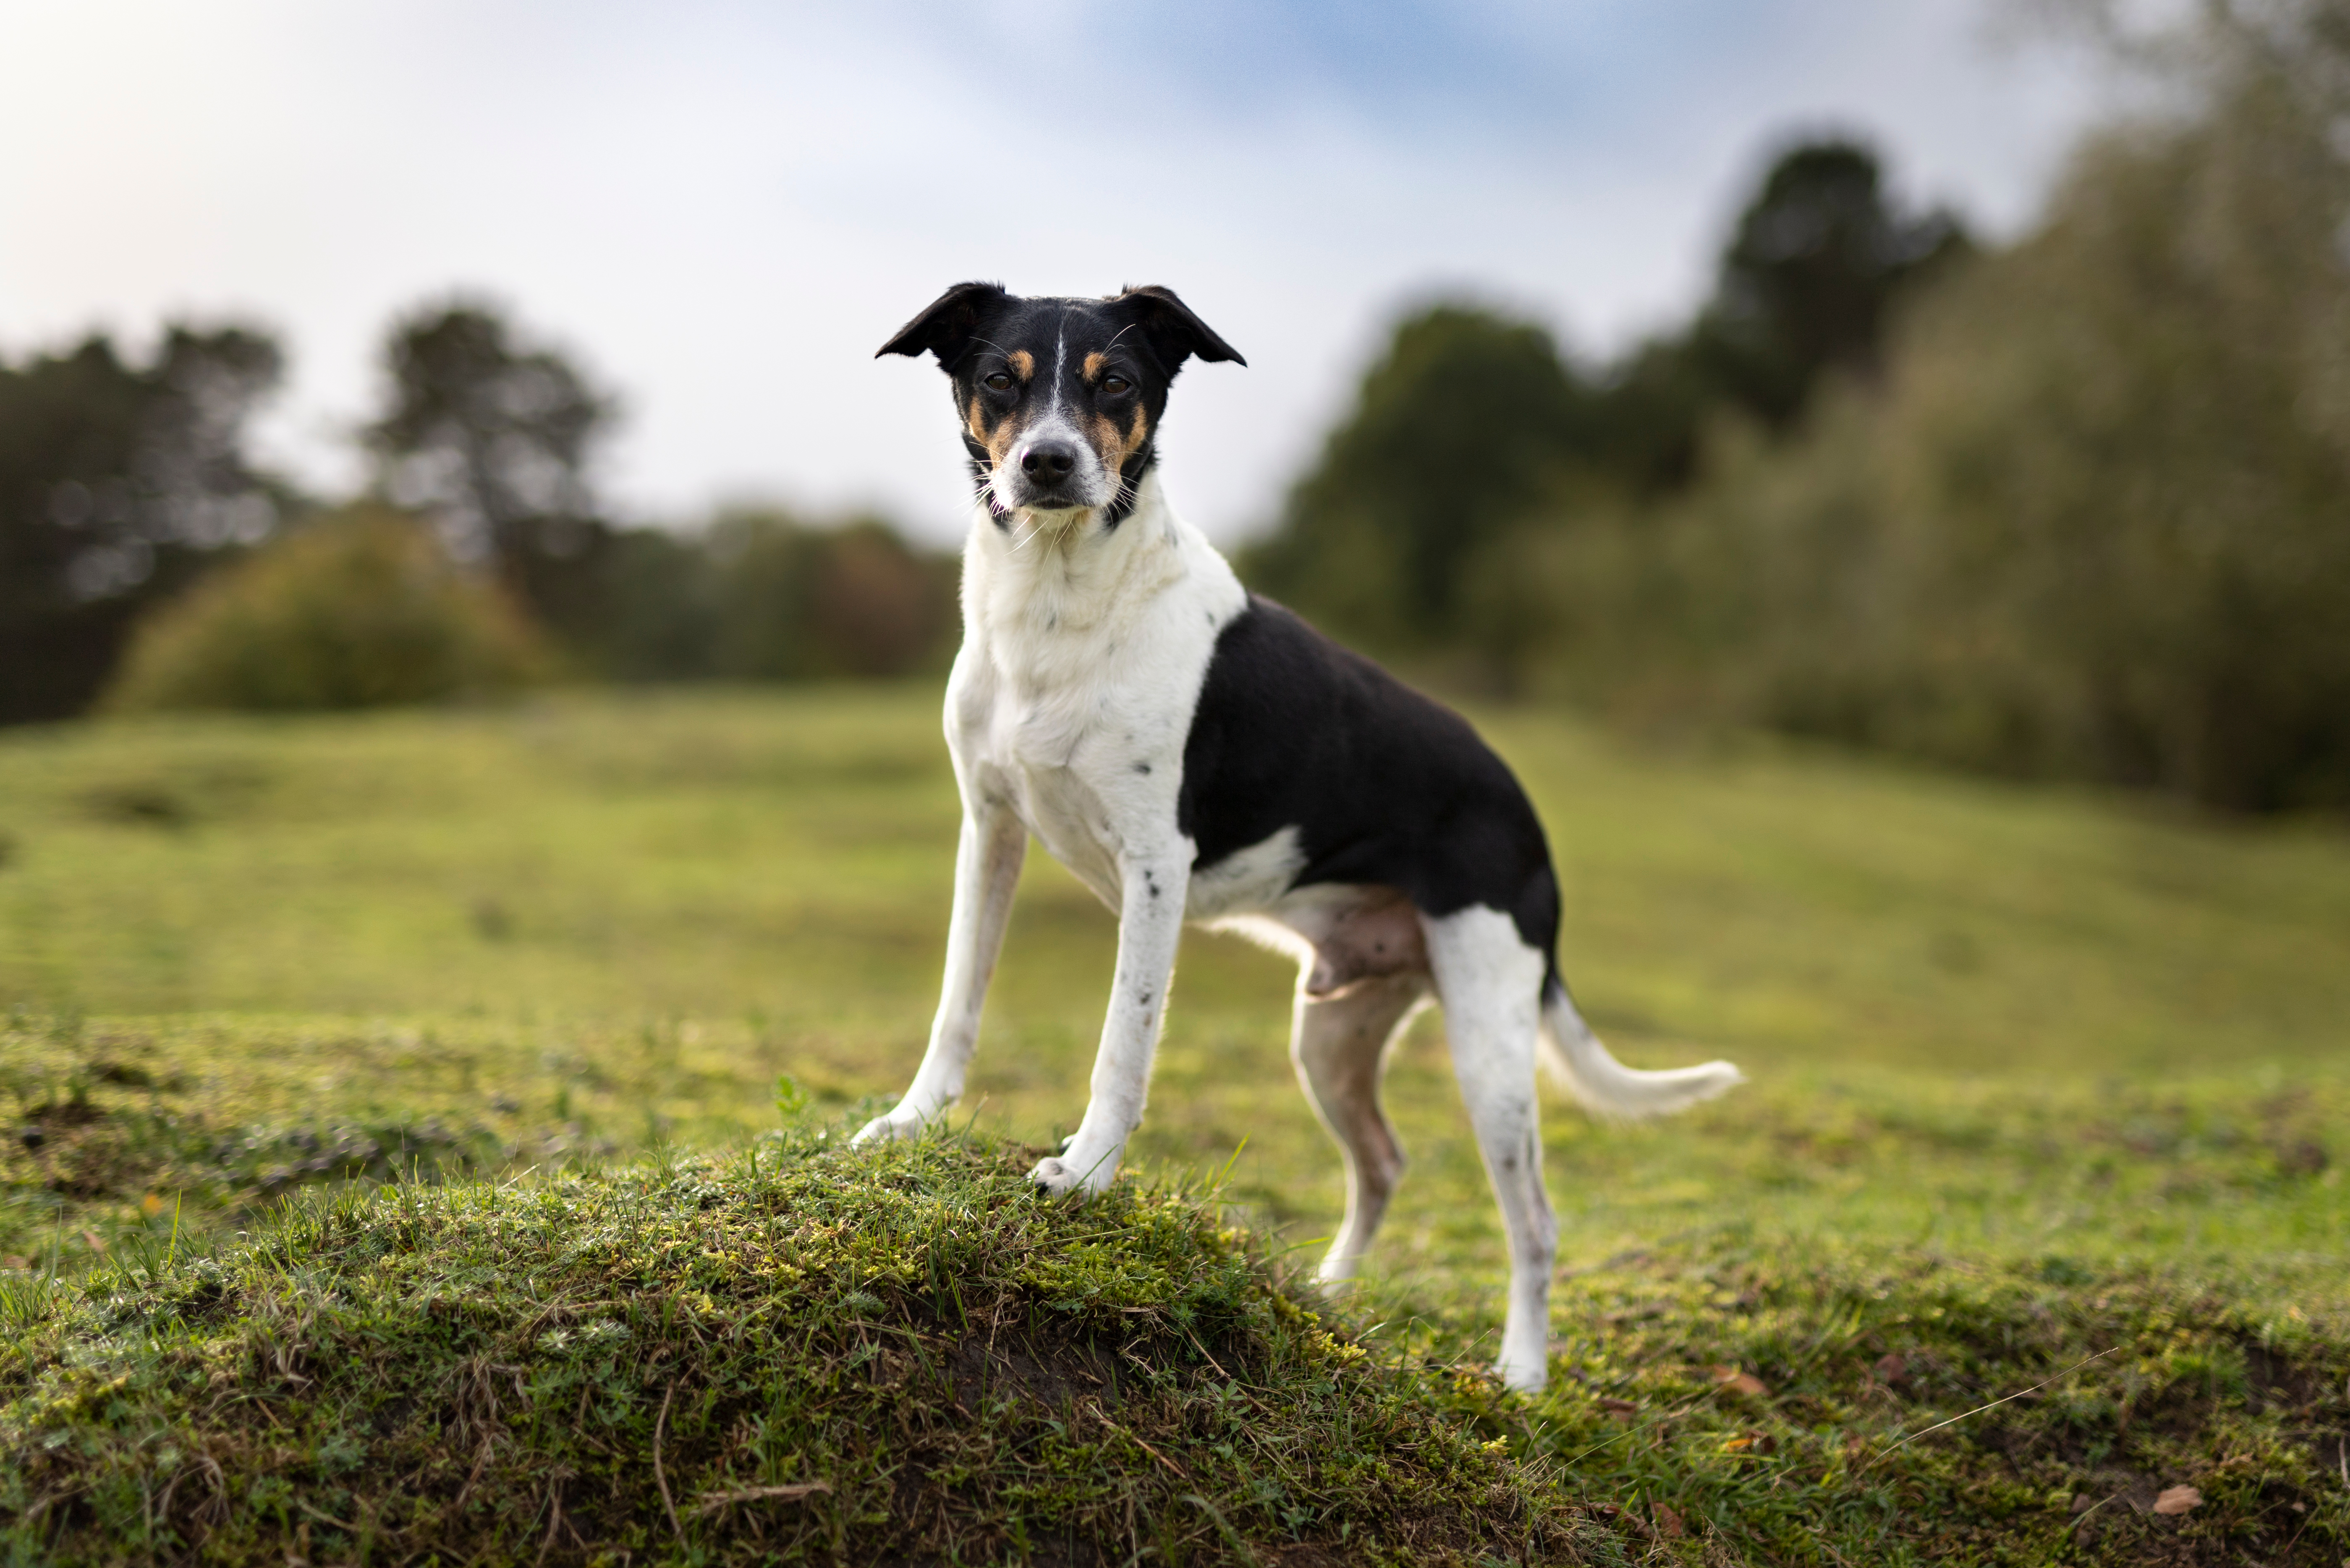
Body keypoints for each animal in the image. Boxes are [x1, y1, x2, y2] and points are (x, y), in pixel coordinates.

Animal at [855, 285, 1739, 1401]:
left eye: (1116, 382)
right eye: (998, 380)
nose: (1048, 463)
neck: (1056, 605)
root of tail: (1525, 815)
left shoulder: (1156, 871)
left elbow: (1122, 1046)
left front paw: (1086, 1172)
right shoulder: (991, 832)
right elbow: (956, 1008)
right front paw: (911, 1124)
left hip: (1490, 1042)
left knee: (1533, 1218)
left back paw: (1521, 1373)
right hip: (1331, 1035)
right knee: (1384, 1162)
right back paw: (1328, 1296)